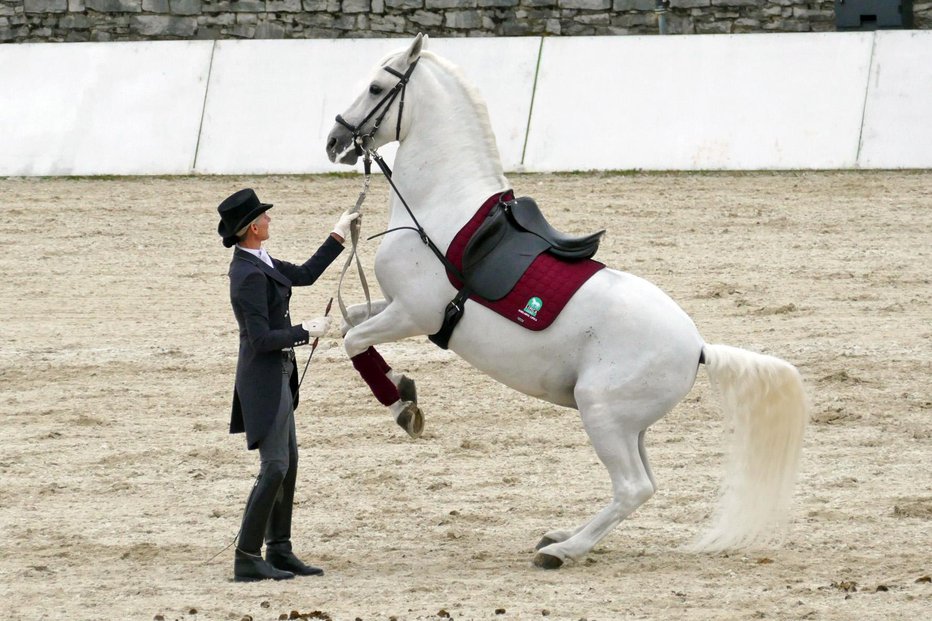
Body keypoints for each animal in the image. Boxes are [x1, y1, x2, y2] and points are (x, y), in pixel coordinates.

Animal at [324, 32, 804, 568]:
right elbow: (347, 326)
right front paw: (404, 387)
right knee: (642, 484)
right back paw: (560, 537)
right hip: (628, 425)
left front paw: (403, 409)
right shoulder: (394, 308)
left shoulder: (414, 314)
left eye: (375, 87)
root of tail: (698, 347)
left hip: (601, 412)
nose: (335, 141)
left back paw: (562, 551)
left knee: (633, 487)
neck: (437, 211)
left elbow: (351, 341)